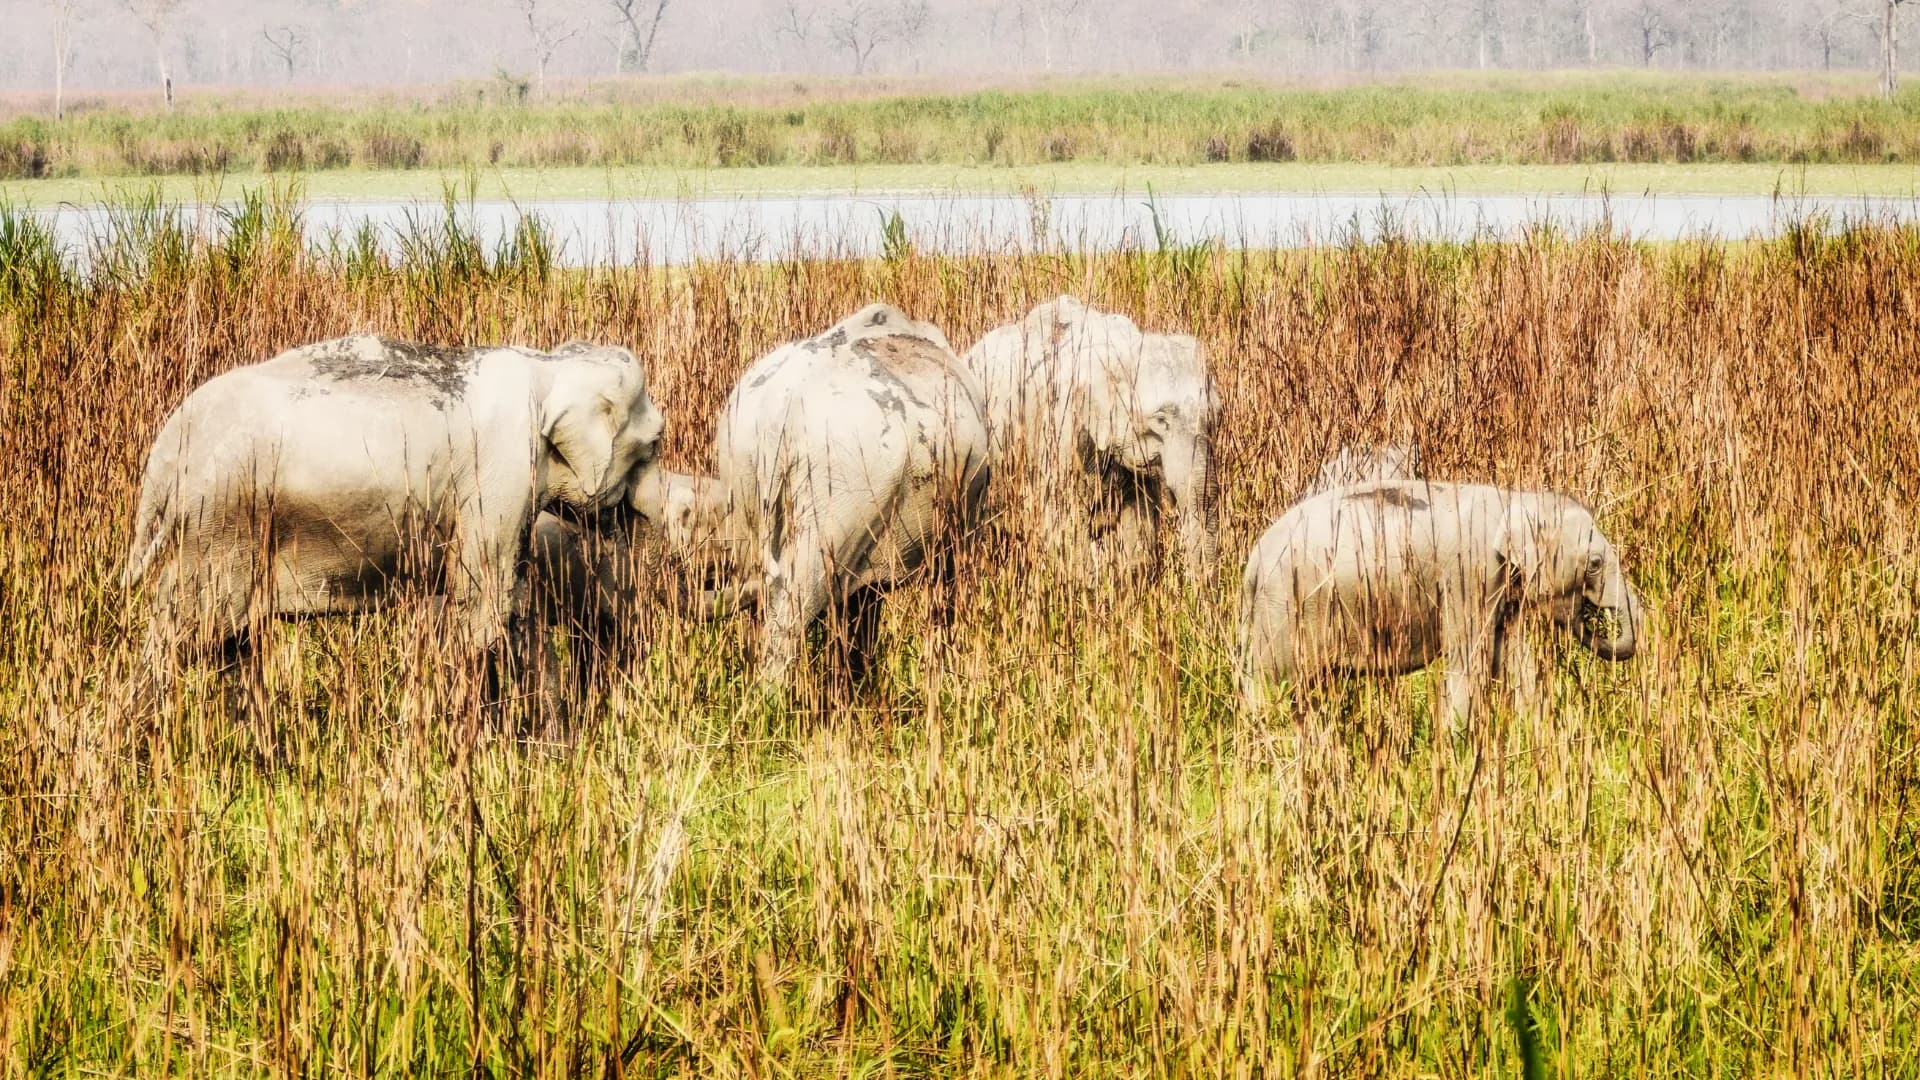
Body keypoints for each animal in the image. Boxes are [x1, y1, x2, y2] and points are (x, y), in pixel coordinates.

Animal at [124, 333, 665, 672]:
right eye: (656, 443)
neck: (548, 364)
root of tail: (166, 451)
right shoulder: (502, 467)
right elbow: (481, 601)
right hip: (221, 520)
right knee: (192, 634)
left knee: (228, 641)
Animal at [961, 296, 1219, 583]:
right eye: (1161, 420)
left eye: (1215, 416)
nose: (1201, 588)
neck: (1122, 347)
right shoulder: (1059, 432)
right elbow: (1062, 522)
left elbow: (1139, 525)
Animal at [1236, 480, 1642, 721]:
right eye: (1595, 563)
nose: (1592, 617)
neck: (1515, 500)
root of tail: (1252, 562)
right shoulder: (1469, 576)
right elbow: (1470, 659)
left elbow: (1514, 658)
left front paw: (1534, 729)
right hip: (1282, 609)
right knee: (1270, 681)